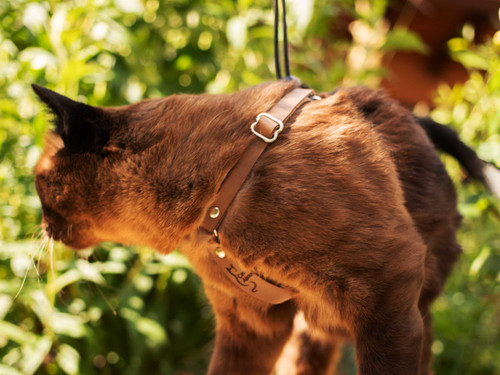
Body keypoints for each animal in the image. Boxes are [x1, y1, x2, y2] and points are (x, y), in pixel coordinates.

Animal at [32, 80, 500, 375]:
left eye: (37, 183)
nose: (41, 225)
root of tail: (416, 118)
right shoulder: (252, 328)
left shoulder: (385, 303)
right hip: (317, 329)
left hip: (408, 313)